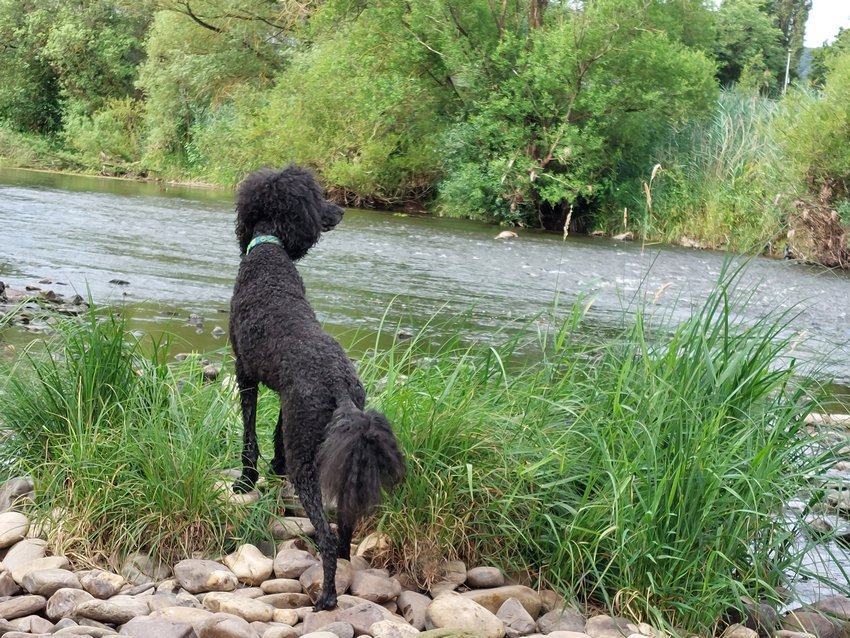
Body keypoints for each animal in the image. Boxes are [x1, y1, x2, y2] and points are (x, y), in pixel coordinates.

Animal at [230, 168, 406, 612]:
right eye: (316, 198)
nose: (340, 210)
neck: (269, 254)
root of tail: (341, 387)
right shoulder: (285, 396)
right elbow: (275, 432)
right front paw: (272, 467)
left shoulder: (245, 373)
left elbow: (250, 435)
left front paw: (246, 480)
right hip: (325, 444)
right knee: (346, 520)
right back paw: (343, 559)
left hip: (307, 460)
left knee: (324, 534)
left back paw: (327, 596)